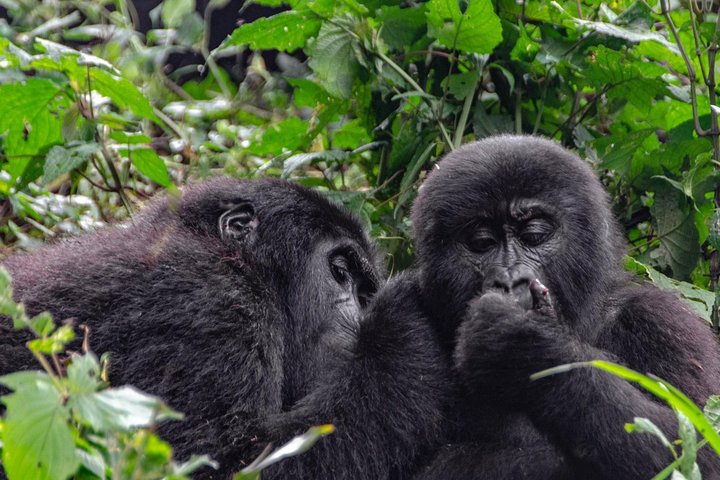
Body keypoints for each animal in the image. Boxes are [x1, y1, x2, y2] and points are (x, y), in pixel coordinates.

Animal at [0, 179, 450, 480]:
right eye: (340, 272)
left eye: (365, 292)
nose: (362, 315)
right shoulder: (210, 301)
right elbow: (213, 461)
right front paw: (402, 329)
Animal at [408, 136, 720, 480]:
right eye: (481, 242)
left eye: (534, 236)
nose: (510, 280)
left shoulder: (661, 322)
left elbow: (701, 452)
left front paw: (523, 348)